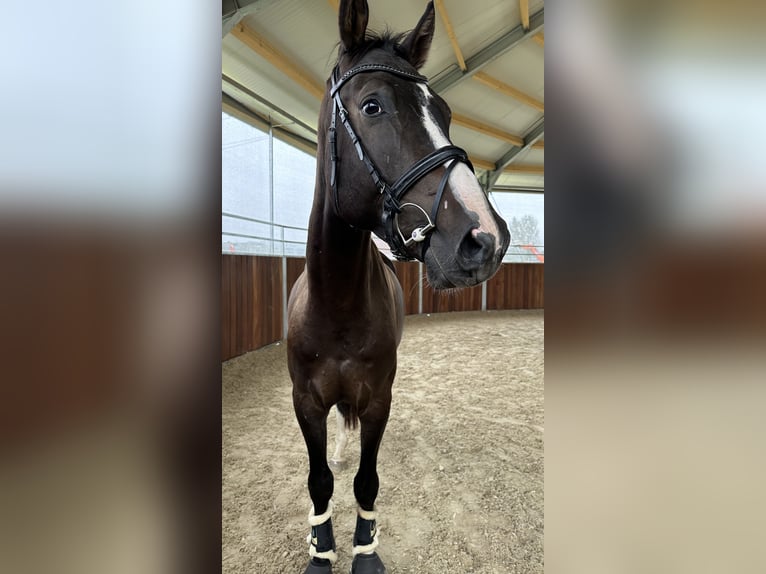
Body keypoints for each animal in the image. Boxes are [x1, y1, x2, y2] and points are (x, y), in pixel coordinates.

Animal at [288, 2, 510, 572]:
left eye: (445, 113)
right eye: (372, 106)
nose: (486, 239)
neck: (336, 305)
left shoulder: (377, 400)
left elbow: (366, 482)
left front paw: (365, 550)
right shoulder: (306, 403)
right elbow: (320, 480)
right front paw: (321, 548)